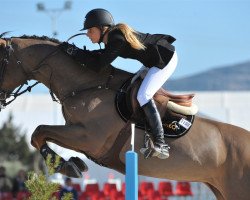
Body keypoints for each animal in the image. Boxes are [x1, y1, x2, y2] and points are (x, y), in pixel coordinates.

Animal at [0, 33, 250, 199]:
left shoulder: (89, 138)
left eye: (1, 62)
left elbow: (39, 131)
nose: (1, 100)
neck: (85, 85)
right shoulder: (79, 135)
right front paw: (71, 163)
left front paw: (68, 166)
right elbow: (39, 135)